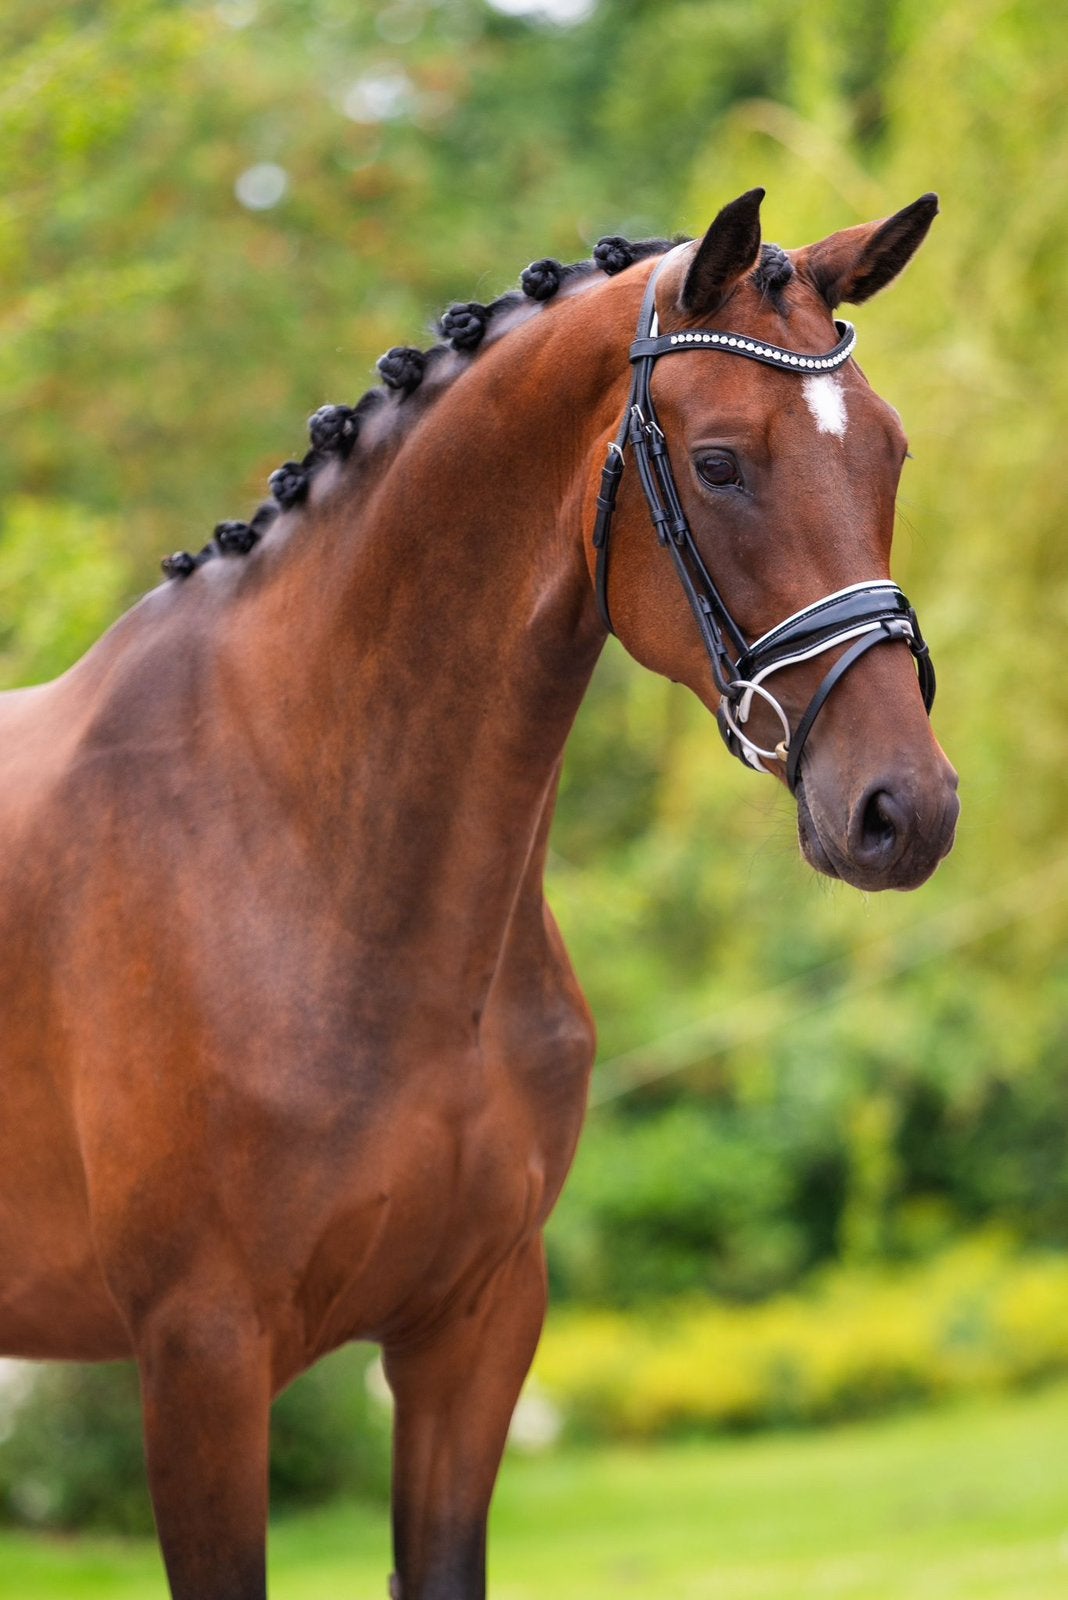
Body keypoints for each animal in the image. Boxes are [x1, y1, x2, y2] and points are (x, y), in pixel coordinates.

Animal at [0, 188, 958, 1599]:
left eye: (889, 455)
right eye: (720, 462)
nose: (907, 808)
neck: (303, 854)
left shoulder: (475, 1330)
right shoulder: (202, 1357)